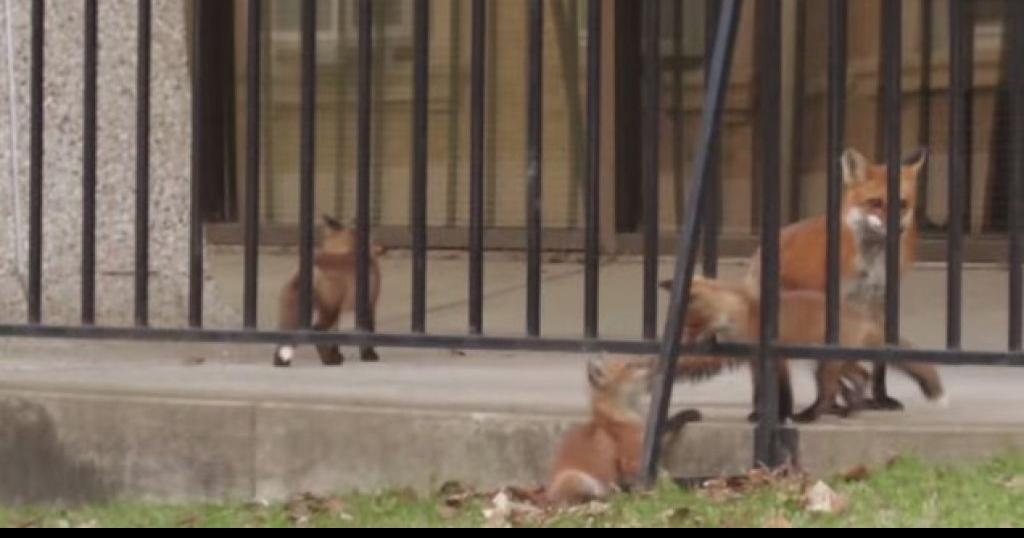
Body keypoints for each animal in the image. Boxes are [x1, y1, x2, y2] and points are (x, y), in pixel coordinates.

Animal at [274, 215, 386, 367]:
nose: (381, 246)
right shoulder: (368, 305)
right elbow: (368, 331)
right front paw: (369, 355)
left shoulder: (340, 312)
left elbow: (334, 338)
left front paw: (337, 354)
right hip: (329, 311)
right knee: (316, 330)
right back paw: (328, 360)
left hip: (300, 312)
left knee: (285, 337)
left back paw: (281, 361)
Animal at [545, 355, 700, 506]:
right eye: (629, 366)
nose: (654, 363)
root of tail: (548, 500)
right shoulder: (633, 459)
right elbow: (662, 474)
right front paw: (672, 491)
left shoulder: (648, 438)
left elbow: (667, 425)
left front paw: (689, 414)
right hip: (578, 478)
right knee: (594, 497)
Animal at [669, 275, 946, 423]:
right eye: (685, 325)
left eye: (693, 324)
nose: (685, 343)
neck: (746, 314)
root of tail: (864, 318)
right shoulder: (755, 362)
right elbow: (759, 393)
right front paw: (758, 414)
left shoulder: (776, 359)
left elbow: (783, 394)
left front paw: (781, 416)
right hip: (832, 364)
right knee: (860, 376)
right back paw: (850, 408)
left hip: (827, 365)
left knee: (829, 392)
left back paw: (811, 415)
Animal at [742, 146, 928, 414]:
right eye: (875, 203)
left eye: (902, 204)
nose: (897, 229)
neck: (871, 264)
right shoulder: (834, 306)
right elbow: (832, 361)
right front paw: (832, 400)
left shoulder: (878, 304)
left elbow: (879, 360)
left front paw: (880, 397)